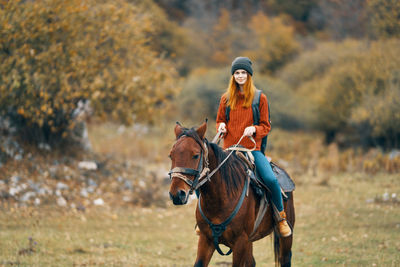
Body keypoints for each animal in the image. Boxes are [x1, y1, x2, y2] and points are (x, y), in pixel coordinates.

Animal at [167, 122, 296, 266]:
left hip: (285, 239)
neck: (220, 200)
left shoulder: (240, 242)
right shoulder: (206, 239)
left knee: (285, 258)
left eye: (195, 155)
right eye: (171, 155)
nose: (177, 194)